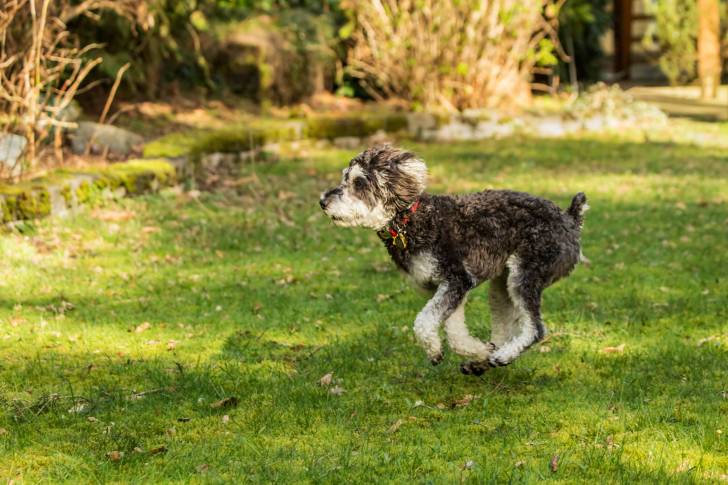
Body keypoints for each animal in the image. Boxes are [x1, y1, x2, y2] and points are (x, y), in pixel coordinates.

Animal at [318, 145, 584, 374]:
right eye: (344, 178)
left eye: (359, 182)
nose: (322, 201)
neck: (407, 223)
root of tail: (570, 220)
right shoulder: (446, 287)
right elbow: (455, 332)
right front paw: (477, 351)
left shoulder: (456, 279)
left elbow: (424, 321)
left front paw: (435, 351)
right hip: (502, 287)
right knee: (506, 327)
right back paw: (484, 360)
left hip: (525, 276)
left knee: (535, 329)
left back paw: (502, 356)